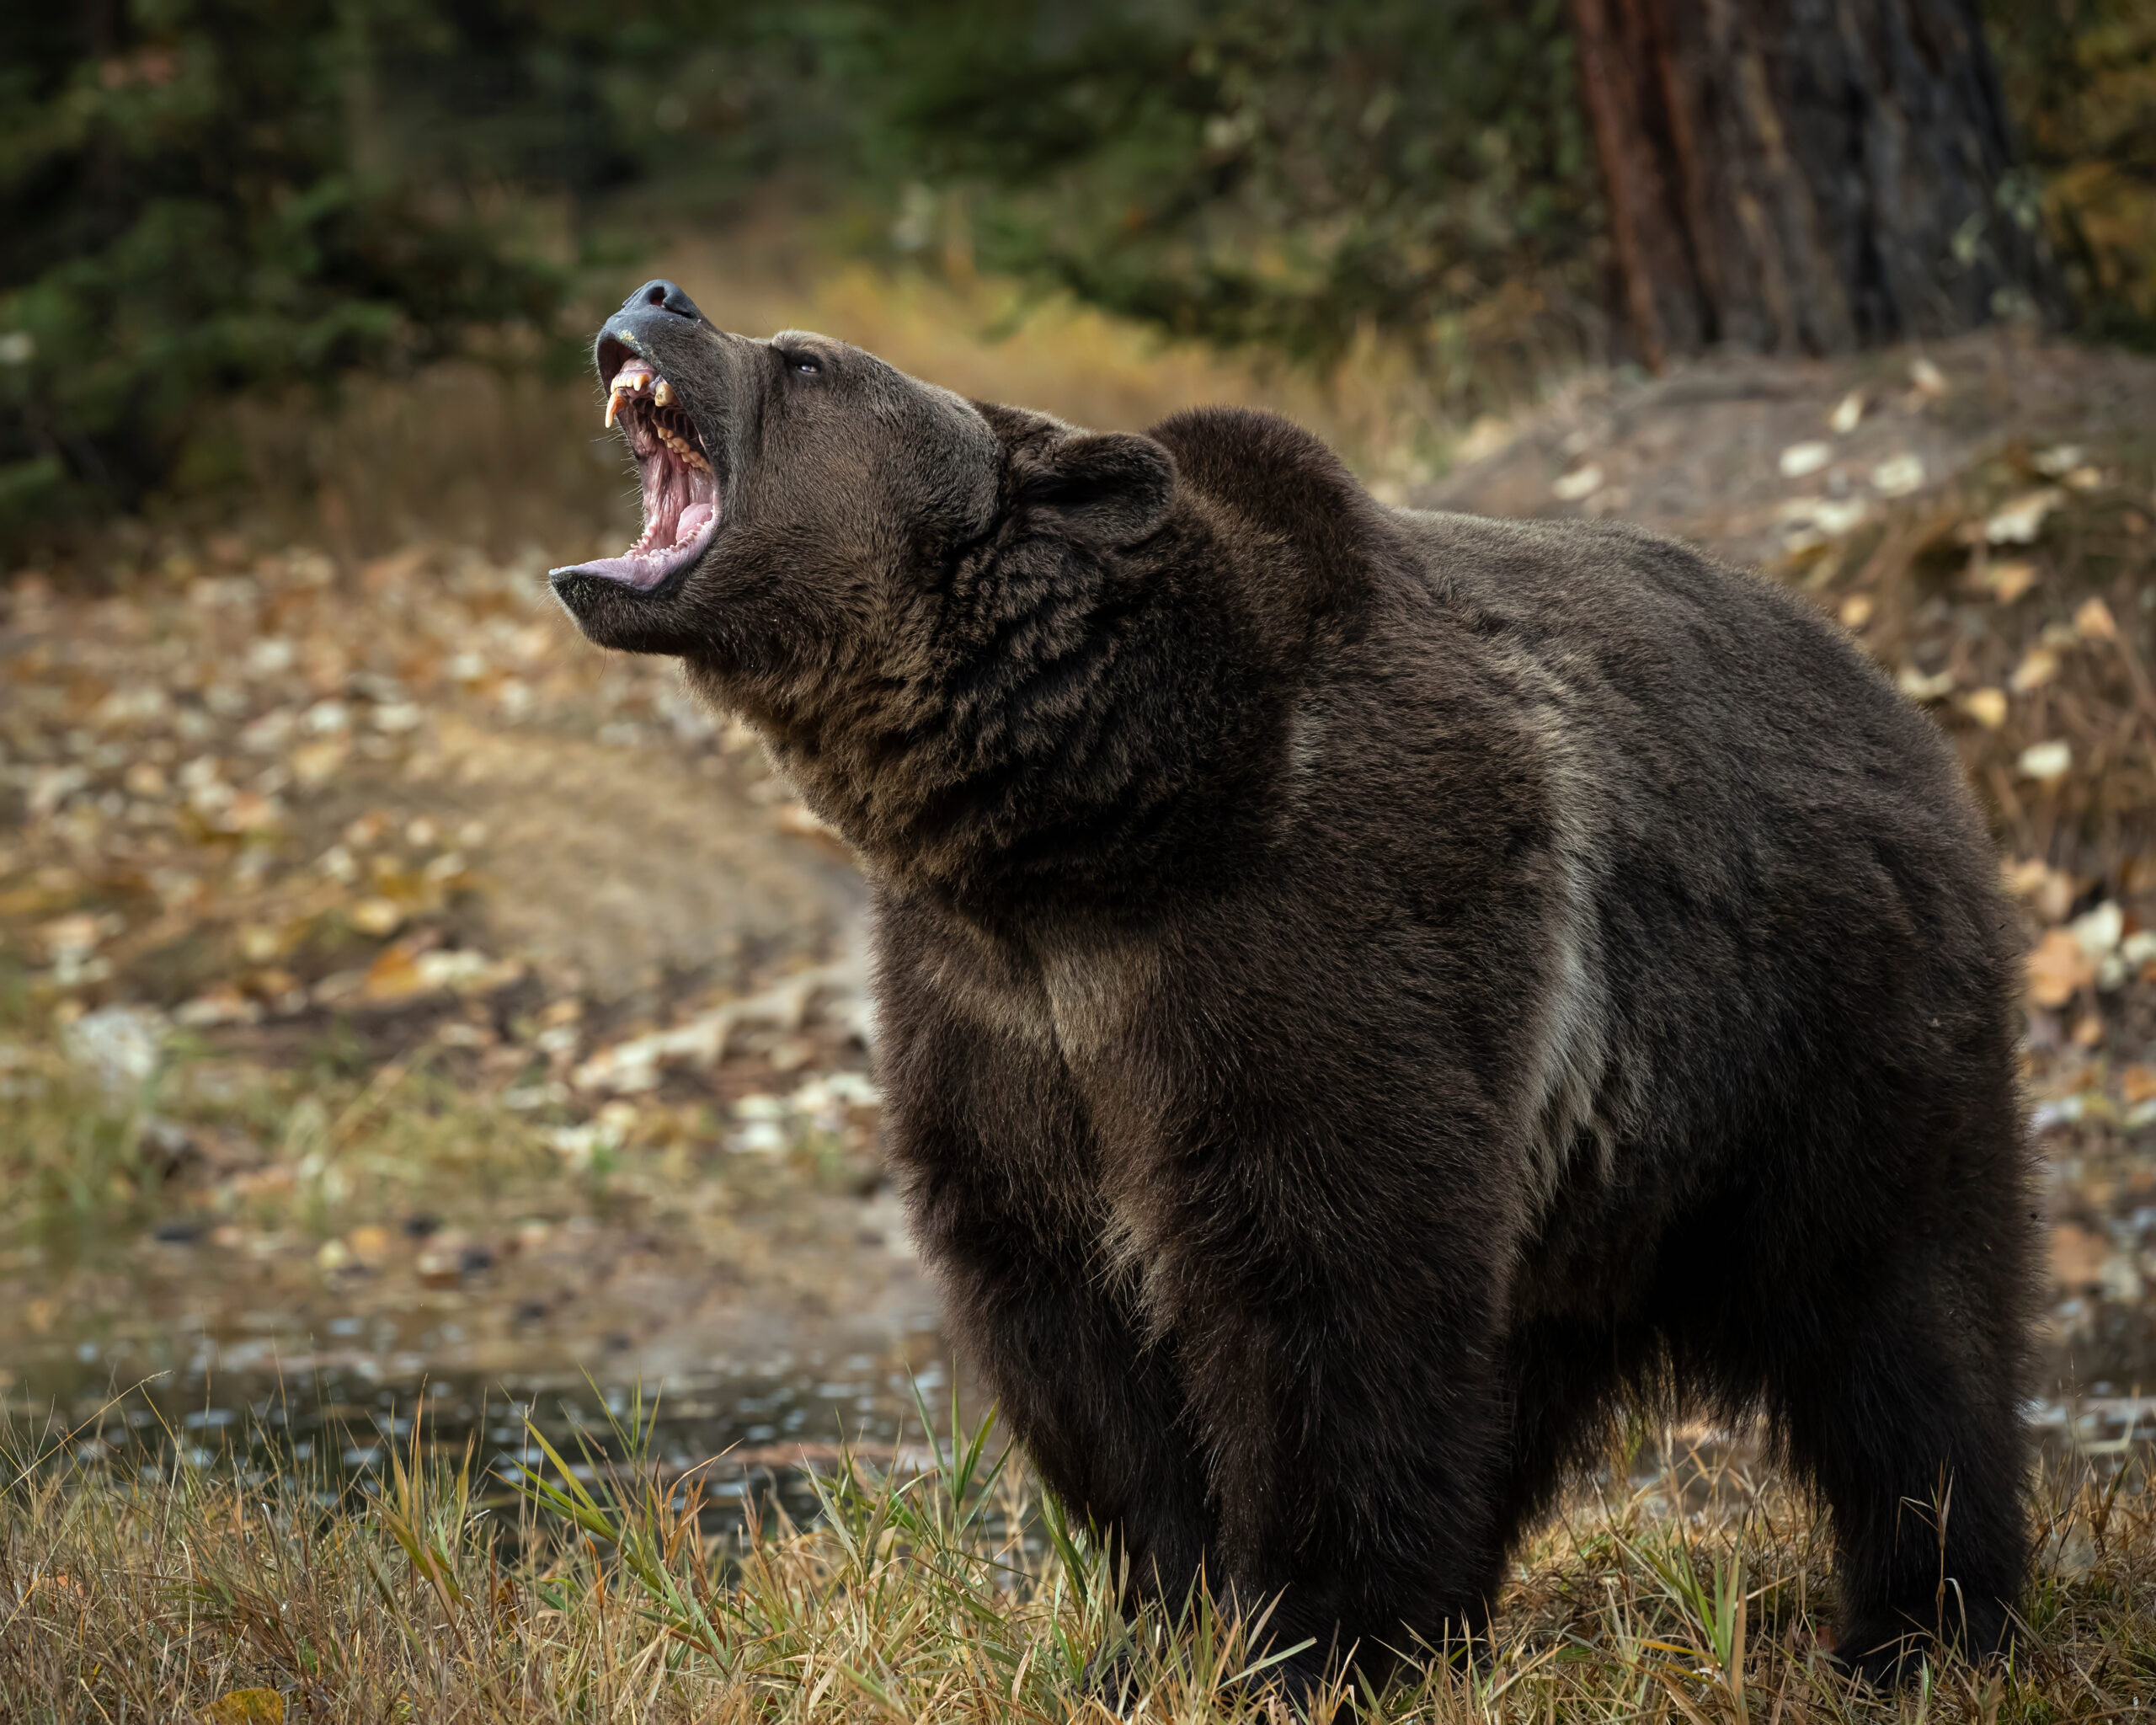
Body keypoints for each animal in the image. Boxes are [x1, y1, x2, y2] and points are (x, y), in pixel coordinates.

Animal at [556, 275, 2035, 1690]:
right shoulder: (994, 1011)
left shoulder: (1312, 936)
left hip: (1821, 1027)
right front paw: (1163, 1625)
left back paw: (1923, 1624)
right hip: (1597, 1167)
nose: (659, 297)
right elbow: (1067, 1316)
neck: (1087, 825)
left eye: (807, 361)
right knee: (1535, 1360)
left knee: (1901, 1324)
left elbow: (1325, 1286)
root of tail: (1893, 695)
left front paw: (1315, 1640)